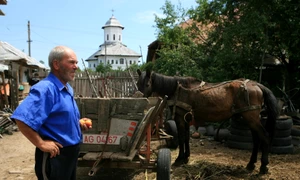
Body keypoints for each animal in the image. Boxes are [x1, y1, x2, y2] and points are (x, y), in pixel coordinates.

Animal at [137, 69, 280, 174]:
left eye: (147, 84)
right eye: (138, 84)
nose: (140, 99)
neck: (178, 89)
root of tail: (256, 85)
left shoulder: (180, 118)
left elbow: (182, 138)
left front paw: (179, 159)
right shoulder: (187, 118)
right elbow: (187, 138)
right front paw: (186, 157)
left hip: (251, 118)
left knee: (265, 137)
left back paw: (264, 166)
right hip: (250, 119)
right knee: (256, 140)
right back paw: (251, 164)